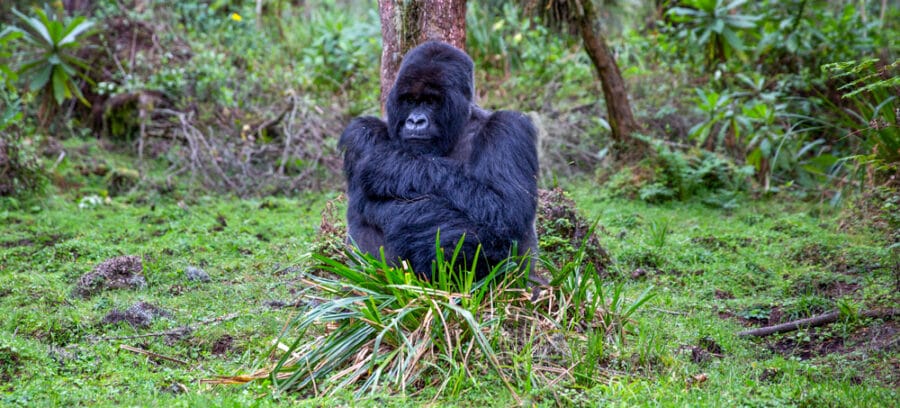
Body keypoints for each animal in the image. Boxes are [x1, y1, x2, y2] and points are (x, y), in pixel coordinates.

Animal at [336, 41, 536, 282]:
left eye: (430, 102)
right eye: (411, 100)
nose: (415, 121)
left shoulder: (508, 129)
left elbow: (504, 208)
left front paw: (390, 165)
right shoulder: (361, 133)